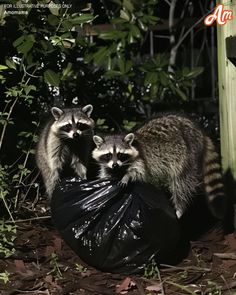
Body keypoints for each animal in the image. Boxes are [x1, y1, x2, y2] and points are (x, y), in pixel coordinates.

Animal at [92, 115, 227, 220]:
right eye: (108, 155)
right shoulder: (108, 165)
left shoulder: (141, 159)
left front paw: (127, 176)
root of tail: (199, 132)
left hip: (188, 153)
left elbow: (139, 171)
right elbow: (106, 172)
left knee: (181, 182)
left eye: (120, 154)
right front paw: (104, 181)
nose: (115, 165)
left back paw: (179, 208)